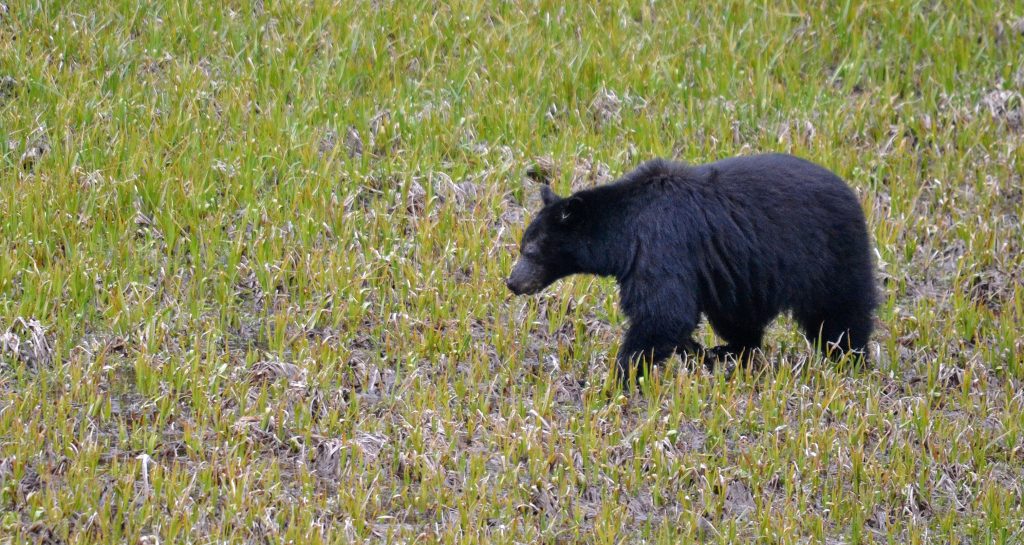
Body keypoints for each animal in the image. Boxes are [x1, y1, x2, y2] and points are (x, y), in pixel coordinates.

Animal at [507, 151, 876, 385]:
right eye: (523, 246)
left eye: (531, 251)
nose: (512, 282)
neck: (624, 230)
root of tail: (853, 197)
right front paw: (697, 351)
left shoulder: (661, 245)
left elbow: (664, 312)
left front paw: (618, 376)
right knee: (739, 318)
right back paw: (727, 351)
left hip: (829, 255)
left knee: (840, 314)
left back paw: (850, 359)